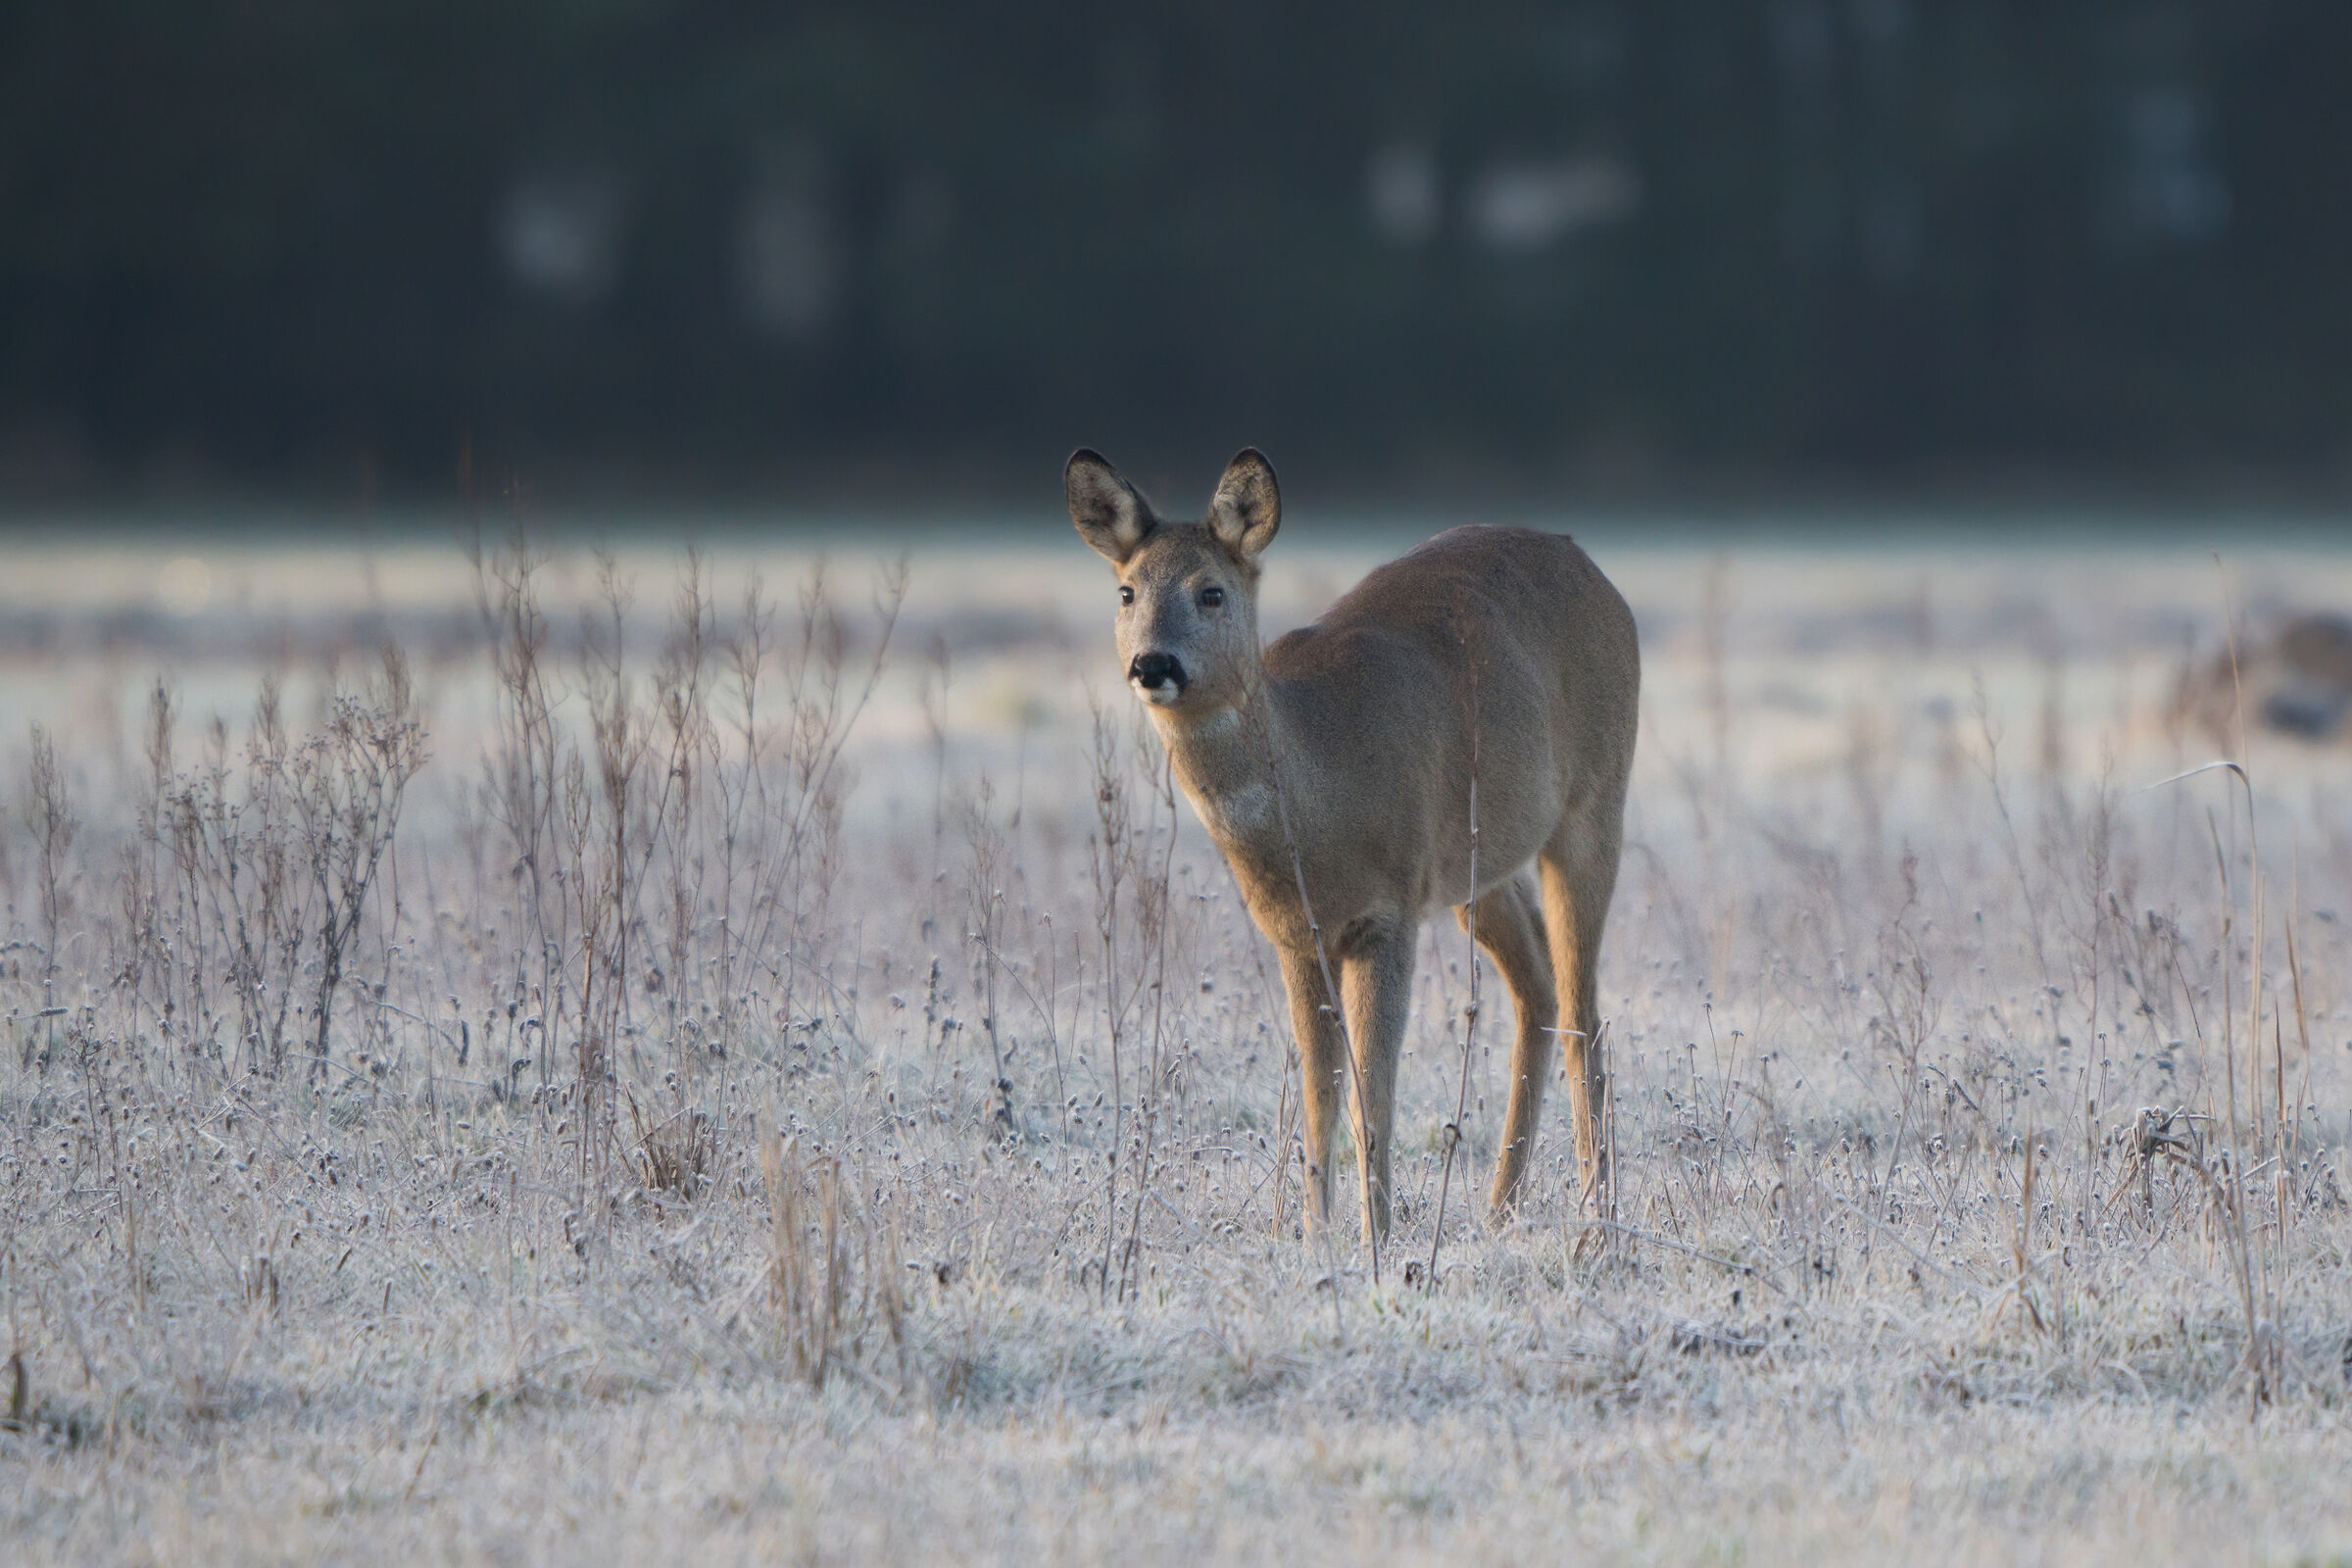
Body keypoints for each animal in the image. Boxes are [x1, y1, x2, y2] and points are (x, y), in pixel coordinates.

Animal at [1067, 447, 1639, 1245]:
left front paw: (1378, 1237)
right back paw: (1500, 1205)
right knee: (1540, 987)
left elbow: (1374, 1086)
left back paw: (1597, 1215)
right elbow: (1319, 1088)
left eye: (1211, 592)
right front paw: (1314, 1234)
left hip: (1594, 803)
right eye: (1125, 591)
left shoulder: (1386, 911)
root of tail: (1594, 569)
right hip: (1478, 869)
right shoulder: (1296, 930)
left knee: (1585, 1008)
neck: (1318, 807)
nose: (1153, 664)